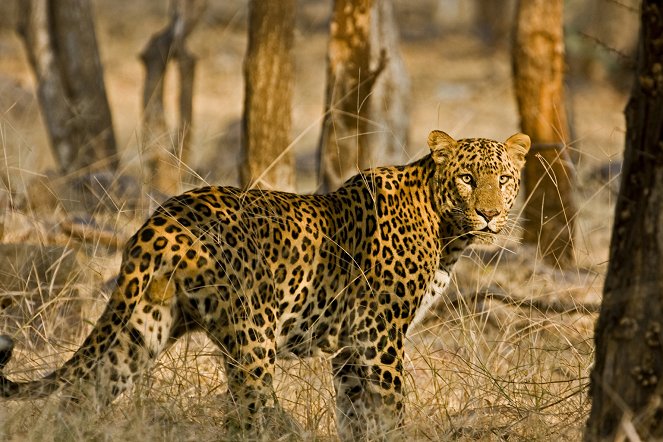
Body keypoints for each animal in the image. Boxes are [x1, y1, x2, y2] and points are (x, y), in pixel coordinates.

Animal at [0, 129, 528, 440]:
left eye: (503, 179)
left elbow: (355, 414)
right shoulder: (378, 334)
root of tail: (162, 217)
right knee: (245, 413)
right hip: (253, 333)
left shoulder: (350, 348)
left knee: (82, 395)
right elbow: (390, 409)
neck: (447, 232)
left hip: (145, 324)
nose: (489, 214)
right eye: (466, 178)